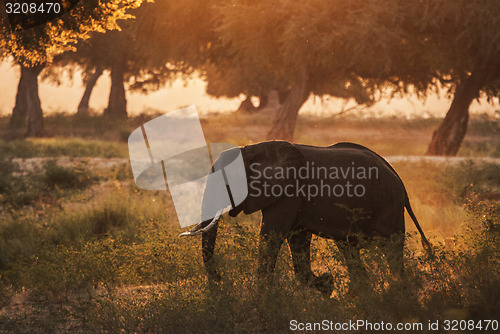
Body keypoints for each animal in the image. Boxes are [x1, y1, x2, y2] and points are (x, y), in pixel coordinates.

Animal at [182, 140, 432, 296]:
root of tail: (398, 178)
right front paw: (328, 286)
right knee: (349, 249)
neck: (252, 149)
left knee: (392, 251)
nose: (219, 278)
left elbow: (272, 236)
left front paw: (261, 300)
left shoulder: (289, 191)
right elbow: (298, 241)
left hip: (389, 204)